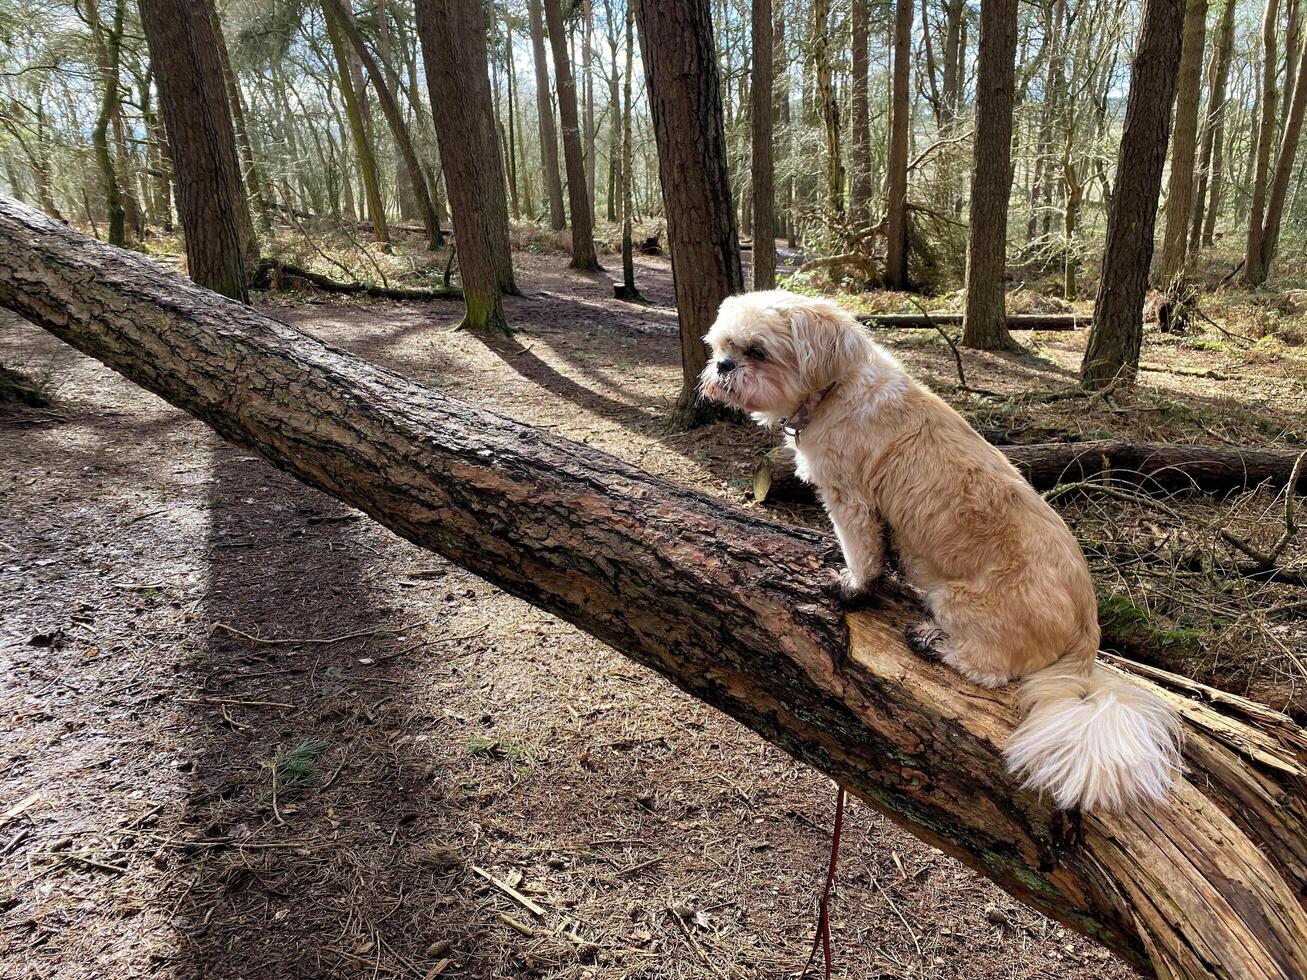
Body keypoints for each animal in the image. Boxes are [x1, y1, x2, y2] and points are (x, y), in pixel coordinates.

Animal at [705, 290, 1186, 815]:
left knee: (990, 670)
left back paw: (933, 641)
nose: (724, 366)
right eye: (723, 346)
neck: (835, 390)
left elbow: (863, 557)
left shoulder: (851, 501)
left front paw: (852, 587)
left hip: (958, 602)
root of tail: (1087, 631)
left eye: (757, 351)